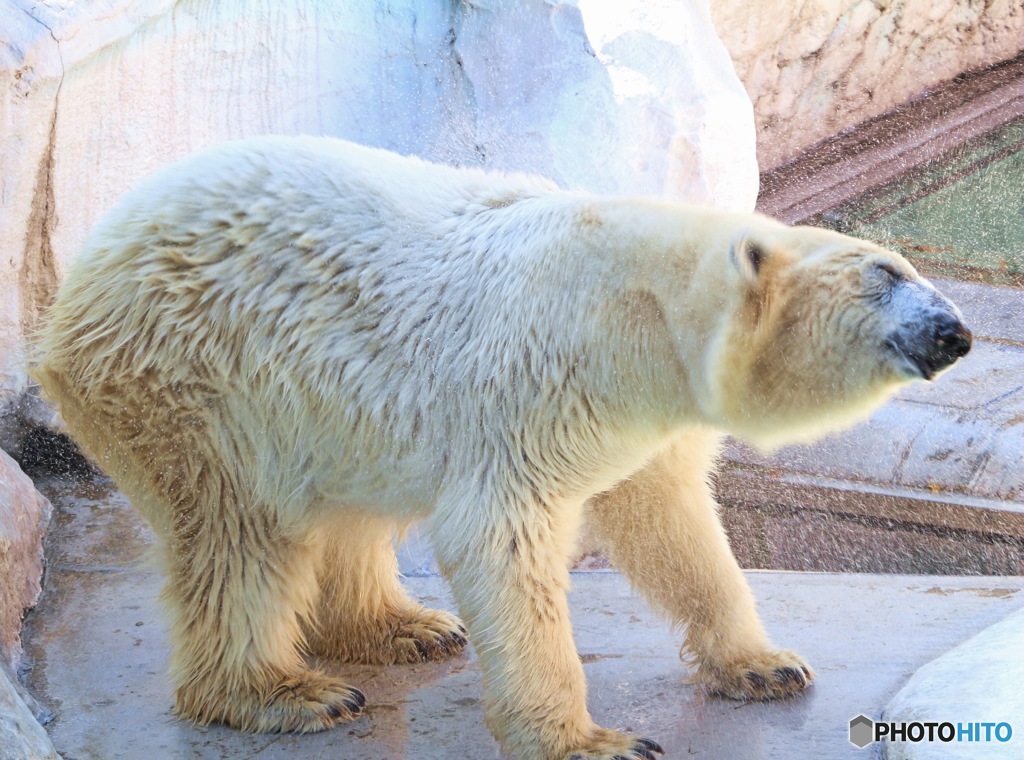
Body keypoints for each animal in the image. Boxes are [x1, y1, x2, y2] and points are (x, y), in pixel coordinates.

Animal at [34, 137, 966, 760]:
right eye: (885, 273)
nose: (956, 331)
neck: (640, 310)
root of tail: (80, 278)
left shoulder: (646, 418)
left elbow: (670, 522)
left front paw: (767, 665)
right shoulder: (535, 384)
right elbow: (504, 540)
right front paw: (593, 741)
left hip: (315, 403)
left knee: (341, 507)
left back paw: (405, 627)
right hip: (195, 381)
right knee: (238, 531)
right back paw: (285, 691)